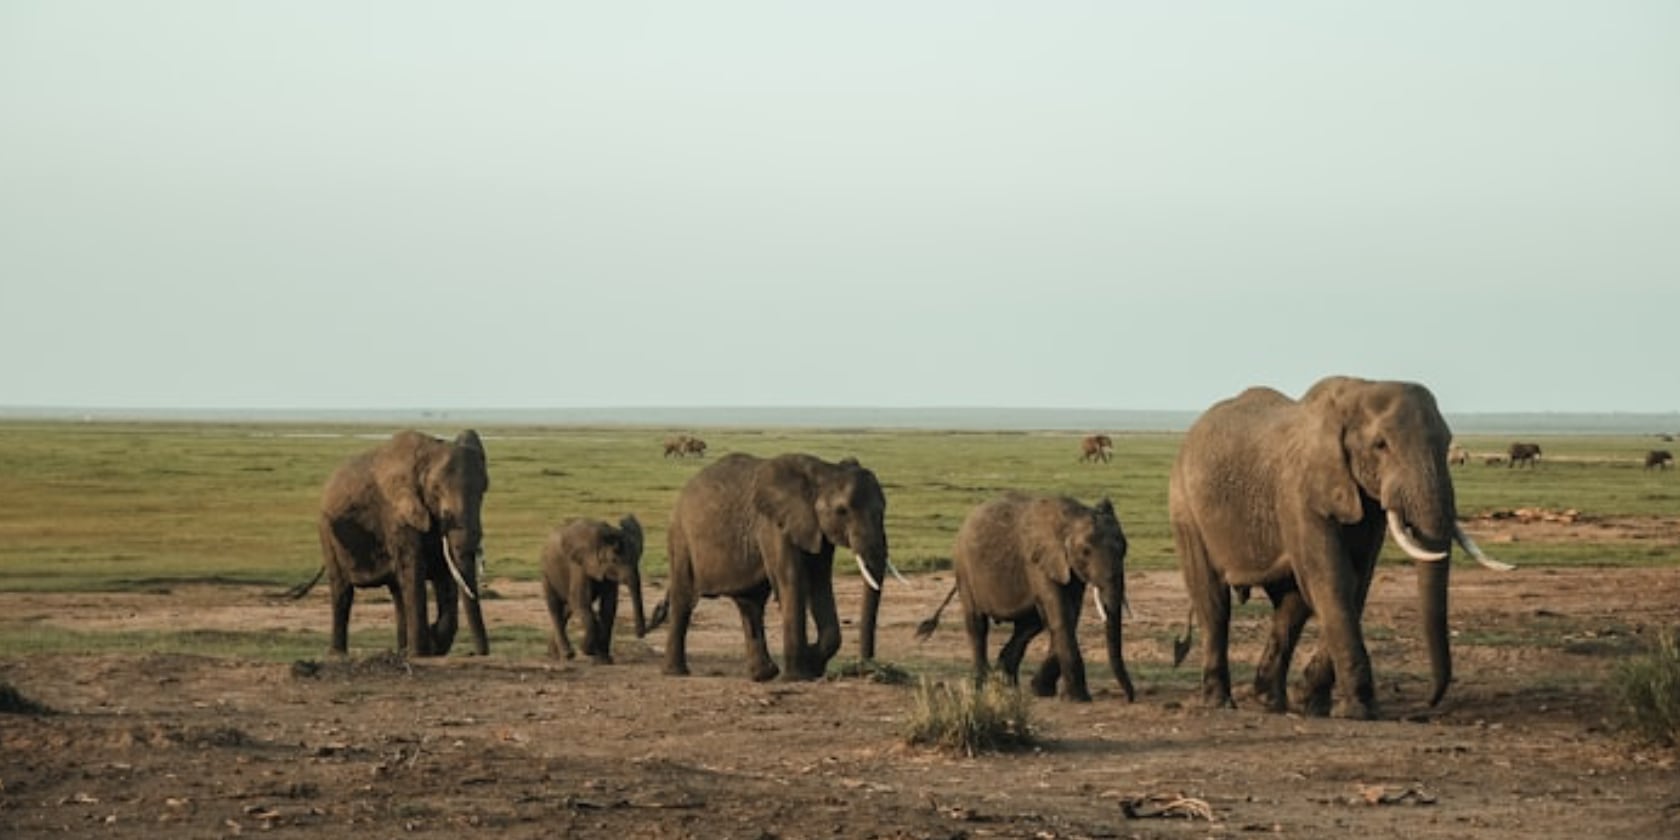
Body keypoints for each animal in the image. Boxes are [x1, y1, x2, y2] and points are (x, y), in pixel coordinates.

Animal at [290, 429, 490, 657]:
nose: (481, 653)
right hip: (326, 532)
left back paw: (401, 650)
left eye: (484, 489)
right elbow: (414, 572)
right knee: (342, 591)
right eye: (436, 490)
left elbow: (444, 573)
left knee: (397, 593)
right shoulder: (396, 515)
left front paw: (431, 643)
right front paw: (421, 653)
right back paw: (338, 654)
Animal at [539, 514, 647, 663]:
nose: (640, 634)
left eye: (637, 558)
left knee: (568, 608)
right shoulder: (579, 564)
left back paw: (554, 654)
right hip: (547, 572)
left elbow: (608, 607)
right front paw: (587, 650)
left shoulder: (607, 573)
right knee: (555, 607)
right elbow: (581, 601)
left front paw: (605, 660)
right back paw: (567, 654)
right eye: (614, 560)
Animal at [648, 452, 905, 682]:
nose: (868, 670)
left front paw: (812, 664)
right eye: (842, 511)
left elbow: (821, 582)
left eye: (883, 509)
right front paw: (798, 676)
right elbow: (793, 579)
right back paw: (676, 673)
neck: (824, 471)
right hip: (680, 537)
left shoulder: (816, 530)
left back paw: (763, 675)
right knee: (684, 598)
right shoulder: (773, 524)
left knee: (750, 603)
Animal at [916, 493, 1135, 703]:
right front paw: (1078, 698)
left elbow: (1070, 616)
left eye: (1125, 548)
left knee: (1029, 625)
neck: (1071, 517)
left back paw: (1004, 683)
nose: (1130, 698)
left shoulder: (1067, 567)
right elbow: (1061, 616)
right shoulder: (1039, 562)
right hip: (964, 570)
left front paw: (1041, 691)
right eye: (1086, 551)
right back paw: (983, 686)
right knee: (978, 624)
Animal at [1168, 377, 1511, 719]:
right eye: (1380, 445)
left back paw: (1269, 702)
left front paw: (1312, 704)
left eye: (1446, 443)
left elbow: (1355, 585)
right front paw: (1359, 710)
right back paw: (1220, 702)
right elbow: (1332, 581)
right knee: (1213, 602)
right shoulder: (1300, 493)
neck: (1357, 394)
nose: (1430, 702)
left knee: (1291, 605)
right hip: (1185, 505)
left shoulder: (1366, 504)